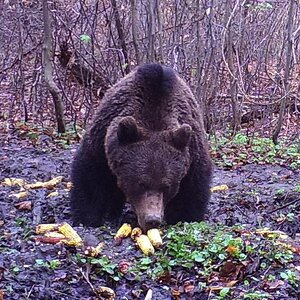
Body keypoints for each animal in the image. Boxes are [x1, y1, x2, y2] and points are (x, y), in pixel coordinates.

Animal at [70, 63, 212, 232]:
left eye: (167, 186)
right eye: (141, 183)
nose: (152, 220)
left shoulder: (191, 152)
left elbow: (192, 190)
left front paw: (184, 218)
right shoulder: (102, 140)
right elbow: (91, 176)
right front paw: (87, 218)